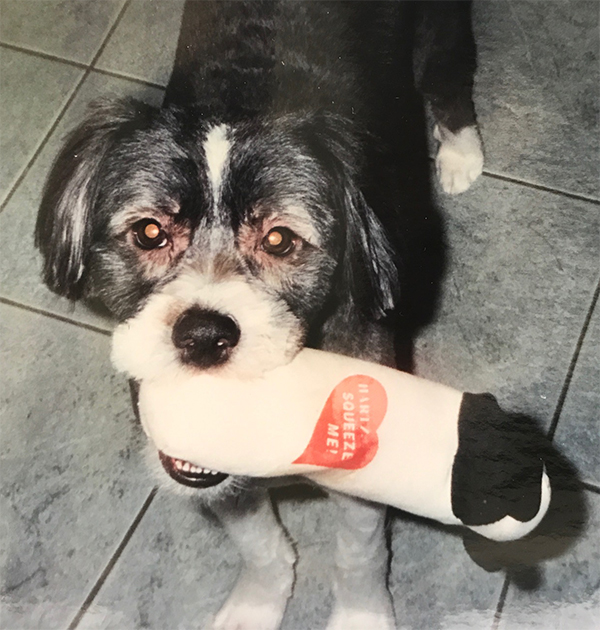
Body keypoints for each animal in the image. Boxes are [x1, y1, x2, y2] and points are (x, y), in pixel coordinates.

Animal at [34, 2, 482, 628]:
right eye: (149, 232)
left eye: (279, 239)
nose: (203, 336)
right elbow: (258, 544)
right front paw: (257, 603)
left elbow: (359, 553)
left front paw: (361, 615)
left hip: (440, 34)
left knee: (449, 77)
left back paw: (462, 155)